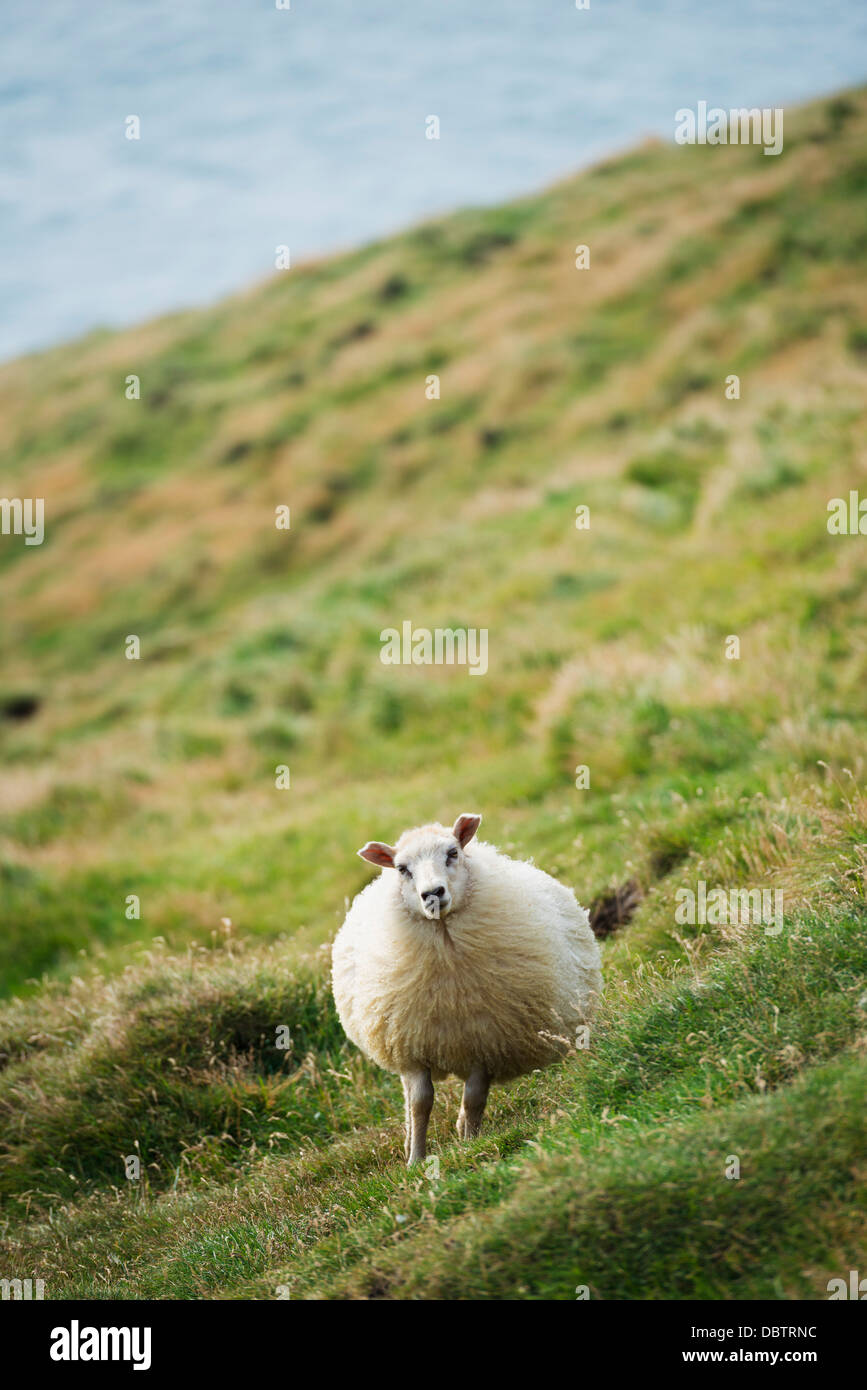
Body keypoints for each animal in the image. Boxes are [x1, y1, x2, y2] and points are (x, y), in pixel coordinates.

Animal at [327, 811, 600, 1162]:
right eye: (402, 868)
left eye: (452, 852)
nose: (432, 893)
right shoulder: (412, 1045)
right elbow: (420, 1103)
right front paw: (415, 1160)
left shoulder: (484, 1040)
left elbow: (473, 1098)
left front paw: (470, 1144)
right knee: (407, 1098)